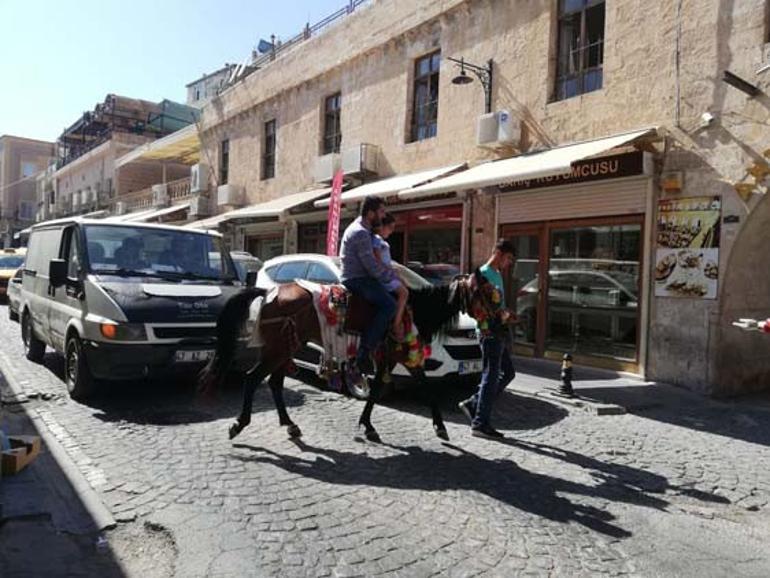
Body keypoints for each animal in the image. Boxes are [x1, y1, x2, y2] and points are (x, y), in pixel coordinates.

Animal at [196, 276, 474, 440]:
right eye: (481, 286)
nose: (474, 332)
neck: (413, 309)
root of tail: (268, 291)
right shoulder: (401, 356)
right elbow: (423, 387)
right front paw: (440, 426)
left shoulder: (391, 358)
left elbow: (380, 391)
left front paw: (368, 424)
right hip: (278, 350)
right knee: (253, 378)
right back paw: (239, 423)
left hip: (283, 349)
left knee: (274, 383)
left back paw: (289, 424)